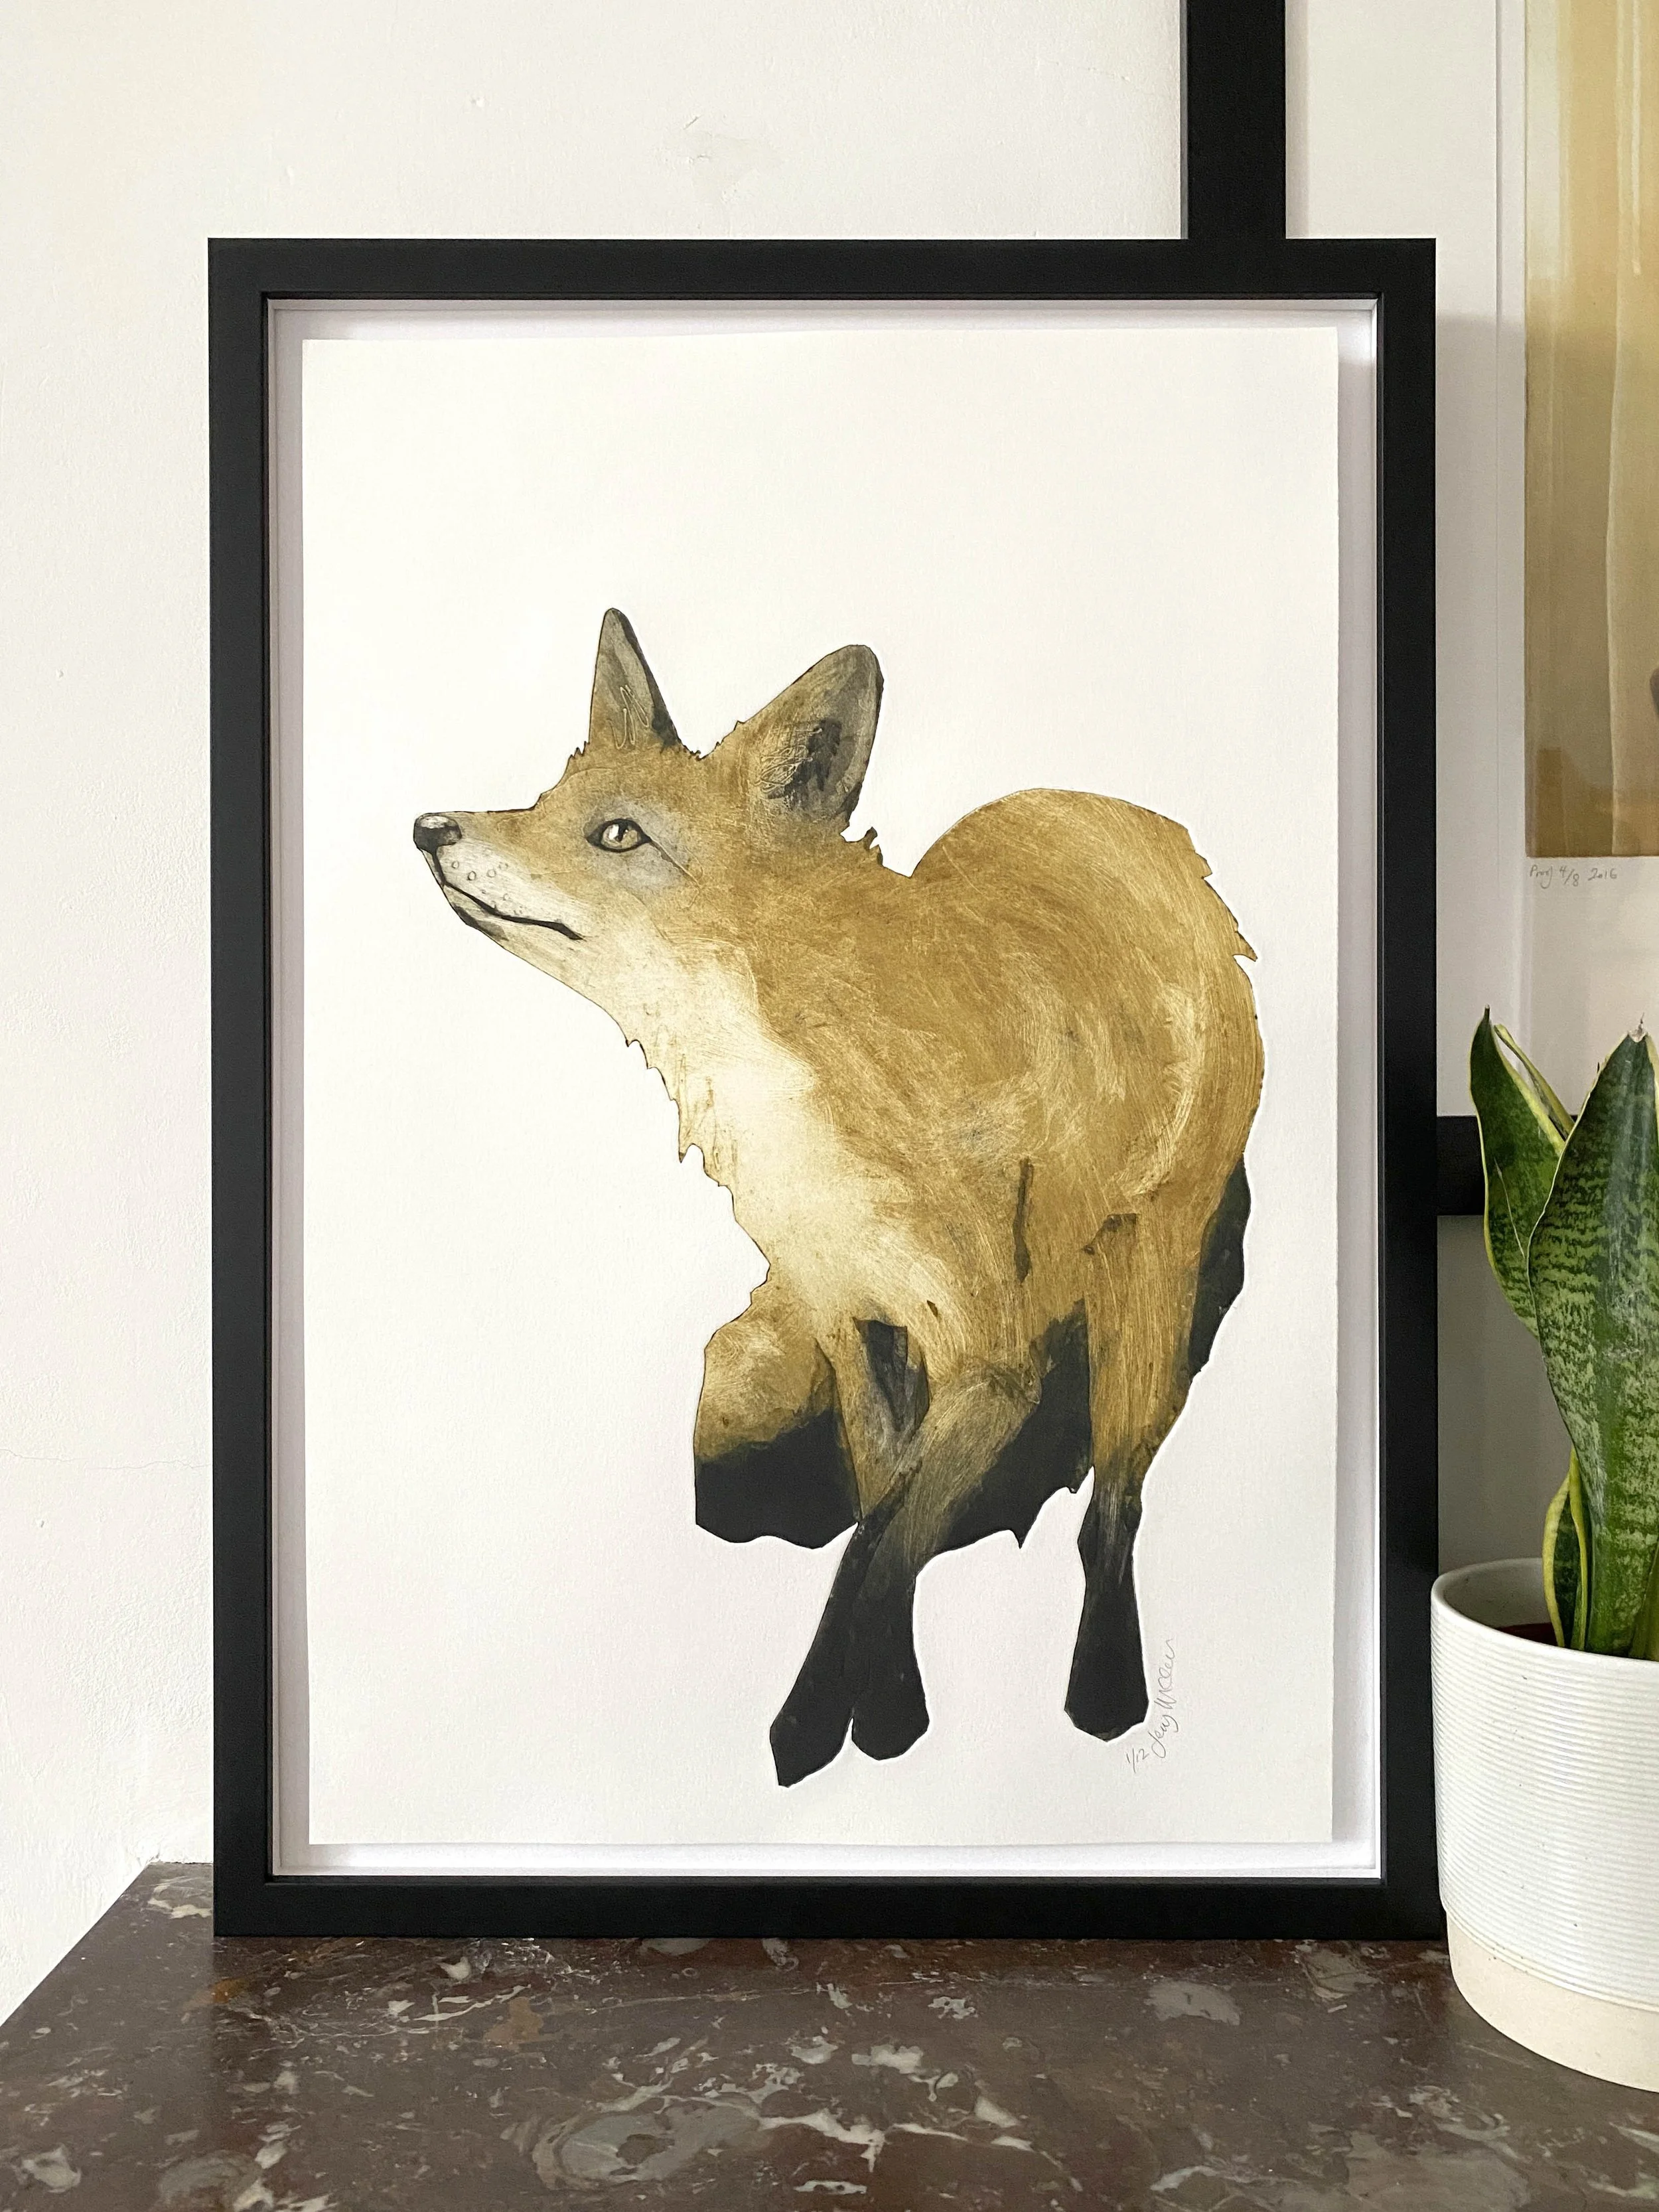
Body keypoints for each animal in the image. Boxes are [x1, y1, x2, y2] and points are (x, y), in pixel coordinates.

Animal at [415, 610, 1263, 1786]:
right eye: (545, 799)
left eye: (620, 835)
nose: (428, 827)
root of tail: (1133, 818)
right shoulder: (851, 1315)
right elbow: (883, 1507)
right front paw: (890, 1706)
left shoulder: (992, 1353)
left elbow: (883, 1538)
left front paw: (819, 1723)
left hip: (1148, 1285)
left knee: (1115, 1506)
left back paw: (1106, 1690)